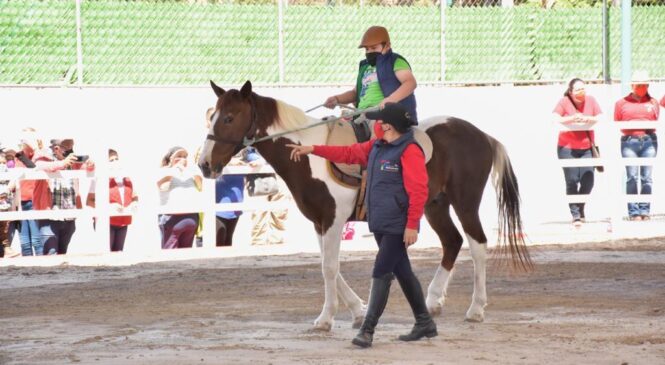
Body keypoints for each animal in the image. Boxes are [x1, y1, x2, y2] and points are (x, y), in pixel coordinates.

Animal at [200, 80, 532, 330]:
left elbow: (329, 268)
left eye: (229, 117)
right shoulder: (320, 222)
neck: (310, 156)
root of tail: (482, 135)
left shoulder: (333, 220)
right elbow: (329, 267)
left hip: (465, 203)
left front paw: (325, 318)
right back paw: (432, 300)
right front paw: (358, 309)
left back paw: (476, 308)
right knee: (452, 242)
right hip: (434, 205)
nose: (204, 165)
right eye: (213, 117)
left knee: (477, 246)